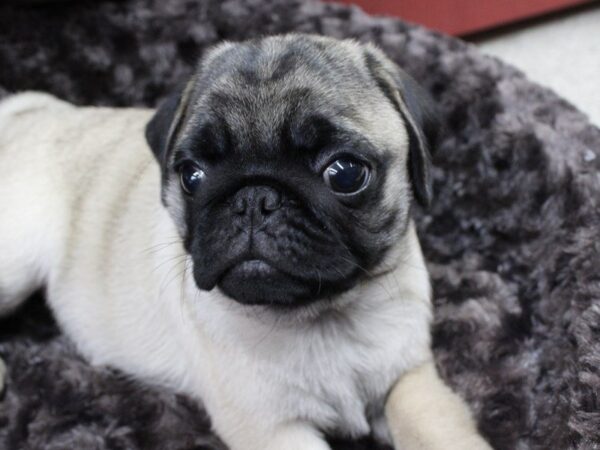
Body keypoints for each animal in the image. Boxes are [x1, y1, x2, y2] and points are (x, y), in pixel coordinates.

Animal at [0, 33, 490, 448]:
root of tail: (34, 111)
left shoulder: (409, 377)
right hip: (17, 259)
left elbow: (433, 423)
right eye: (191, 175)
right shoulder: (272, 428)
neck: (324, 318)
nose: (255, 197)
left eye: (346, 172)